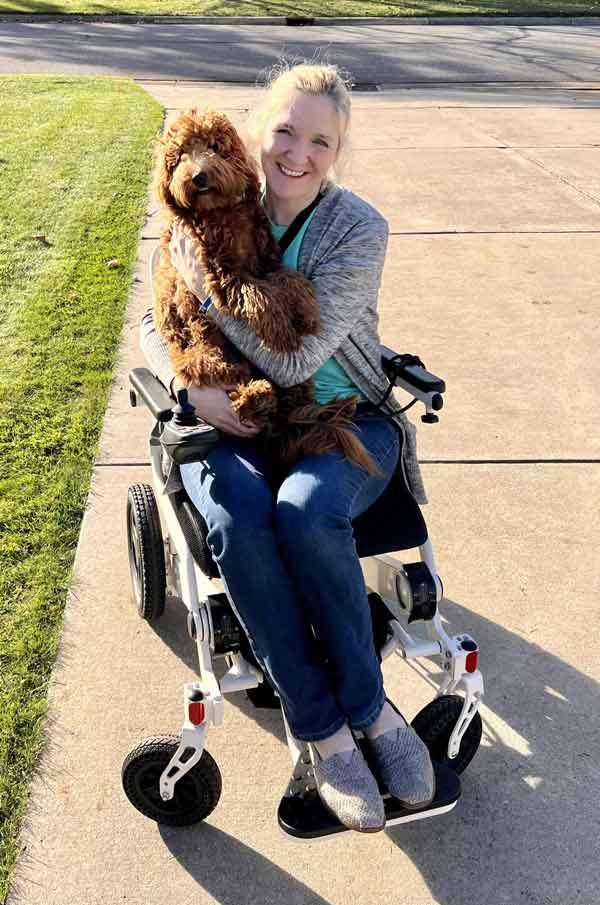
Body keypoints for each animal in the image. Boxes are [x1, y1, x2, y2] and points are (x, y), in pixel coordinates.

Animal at [155, 107, 380, 480]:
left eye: (214, 146)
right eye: (182, 154)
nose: (198, 177)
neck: (220, 213)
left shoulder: (265, 260)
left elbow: (288, 280)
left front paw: (306, 310)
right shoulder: (222, 275)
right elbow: (257, 296)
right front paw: (283, 332)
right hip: (205, 353)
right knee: (229, 384)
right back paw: (257, 396)